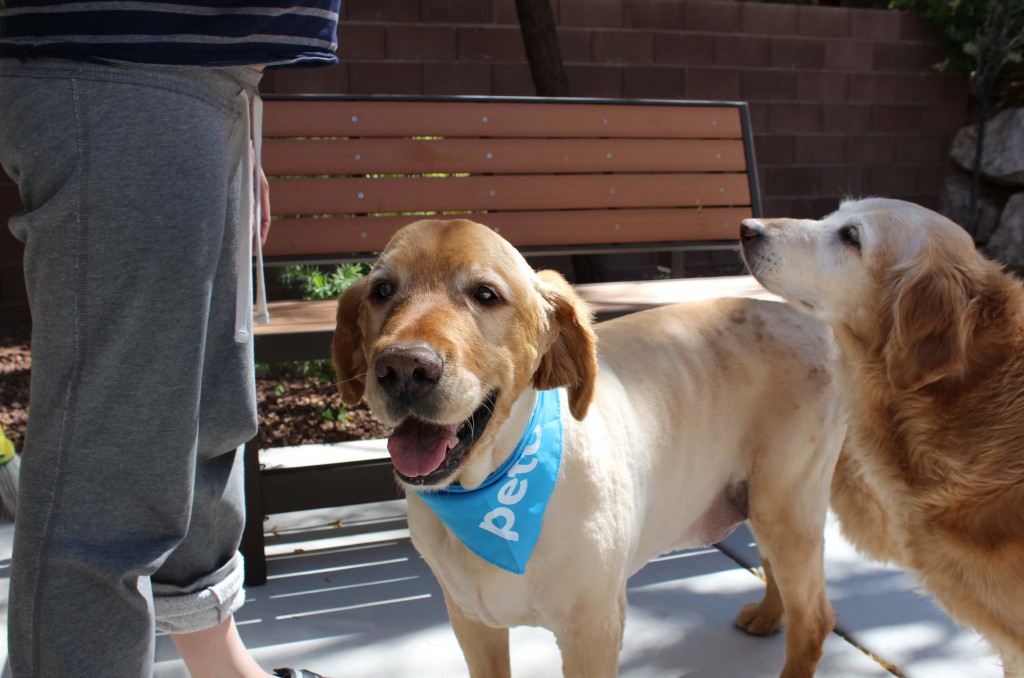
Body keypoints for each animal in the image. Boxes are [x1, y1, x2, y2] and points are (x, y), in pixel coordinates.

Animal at [331, 220, 843, 675]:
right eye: (382, 290)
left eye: (485, 294)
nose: (403, 368)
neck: (494, 493)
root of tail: (805, 317)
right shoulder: (472, 623)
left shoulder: (593, 629)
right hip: (761, 500)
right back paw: (769, 615)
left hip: (786, 504)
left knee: (816, 621)